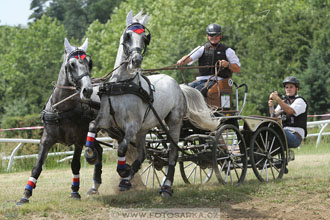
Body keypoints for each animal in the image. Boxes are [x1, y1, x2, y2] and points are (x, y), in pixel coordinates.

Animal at [15, 37, 102, 205]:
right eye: (72, 64)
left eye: (89, 62)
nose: (87, 90)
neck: (61, 110)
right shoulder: (46, 139)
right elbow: (37, 166)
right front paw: (25, 194)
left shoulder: (79, 139)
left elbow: (75, 164)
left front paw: (75, 191)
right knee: (99, 150)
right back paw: (95, 186)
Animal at [84, 9, 220, 196]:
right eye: (127, 35)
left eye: (144, 38)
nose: (136, 60)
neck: (123, 85)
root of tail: (179, 86)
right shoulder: (105, 119)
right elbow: (91, 127)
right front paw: (90, 154)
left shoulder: (132, 126)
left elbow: (122, 147)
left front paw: (123, 170)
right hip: (144, 129)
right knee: (142, 154)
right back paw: (127, 181)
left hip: (173, 122)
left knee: (173, 152)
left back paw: (166, 186)